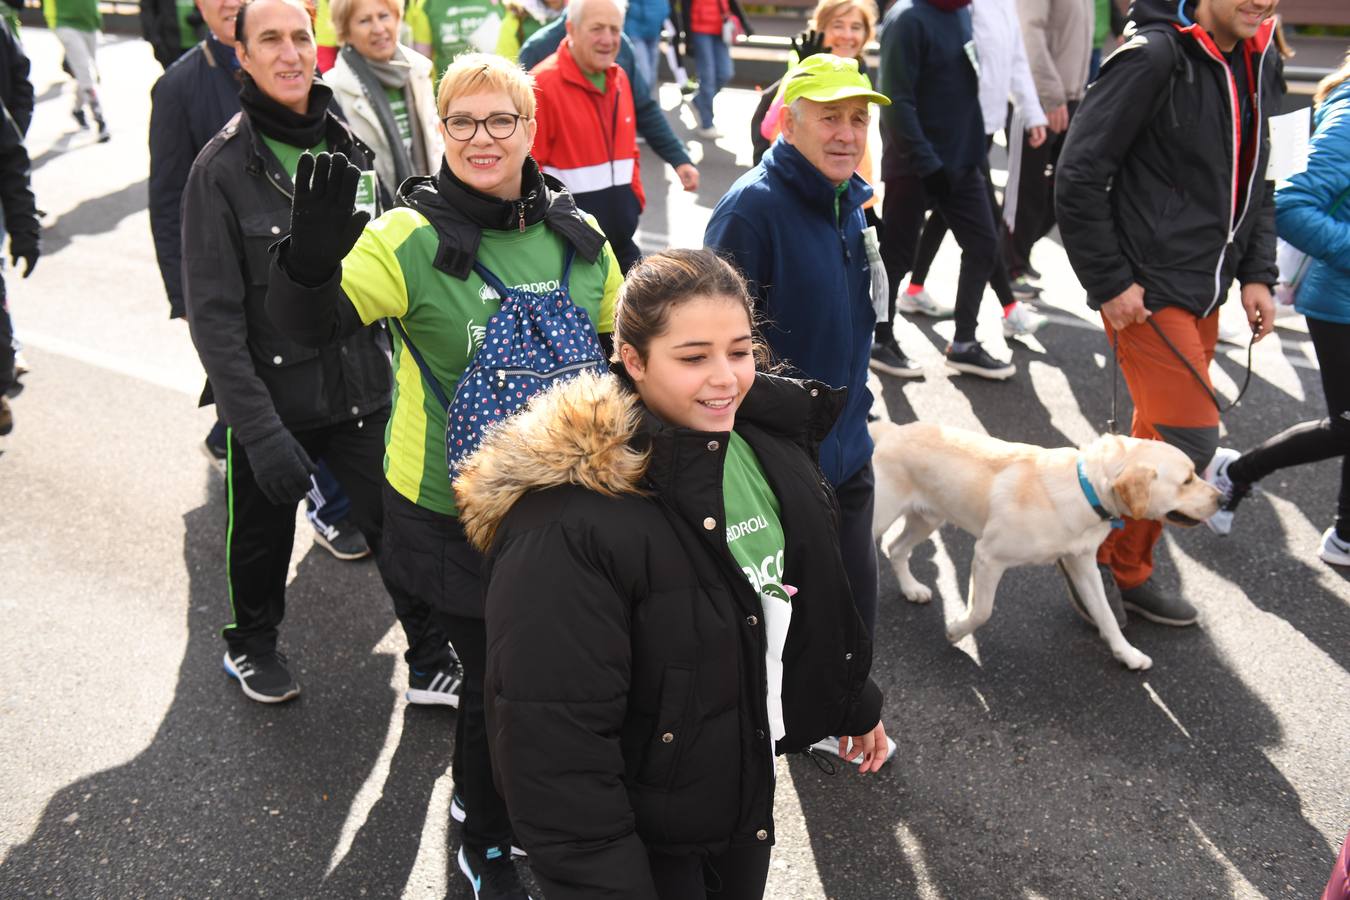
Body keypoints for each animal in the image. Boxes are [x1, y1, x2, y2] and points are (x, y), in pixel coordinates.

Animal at [874, 423, 1225, 669]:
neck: (1085, 489)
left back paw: (911, 589)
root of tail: (892, 430)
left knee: (896, 548)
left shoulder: (1083, 563)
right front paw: (957, 630)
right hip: (882, 514)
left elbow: (1106, 614)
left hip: (928, 518)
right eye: (1187, 480)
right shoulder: (987, 556)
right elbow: (983, 611)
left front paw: (1127, 653)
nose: (1223, 499)